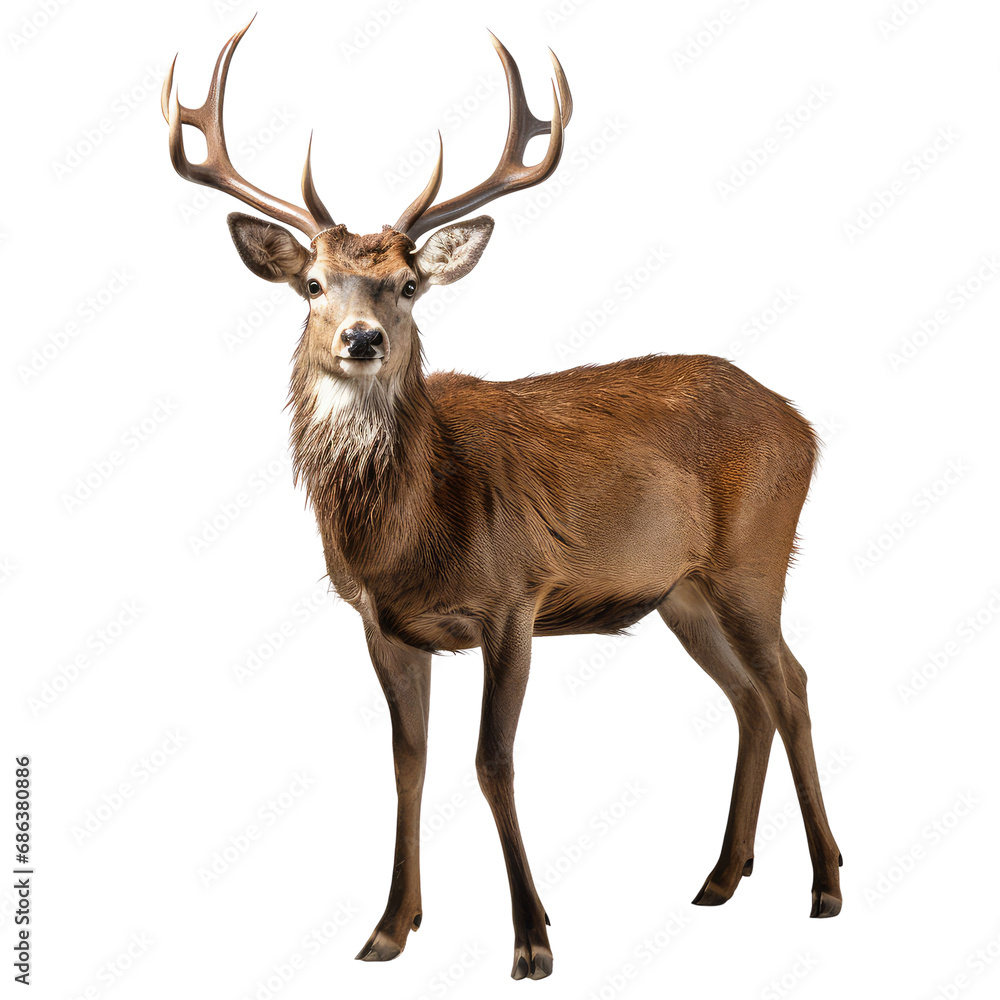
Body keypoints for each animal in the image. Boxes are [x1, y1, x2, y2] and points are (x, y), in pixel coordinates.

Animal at [161, 18, 843, 981]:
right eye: (313, 285)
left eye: (408, 286)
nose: (361, 339)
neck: (410, 533)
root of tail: (803, 423)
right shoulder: (380, 621)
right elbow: (408, 762)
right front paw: (388, 929)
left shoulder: (517, 596)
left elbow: (493, 761)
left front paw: (533, 938)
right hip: (684, 590)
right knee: (749, 697)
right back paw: (719, 877)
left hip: (755, 556)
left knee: (793, 684)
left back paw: (825, 884)